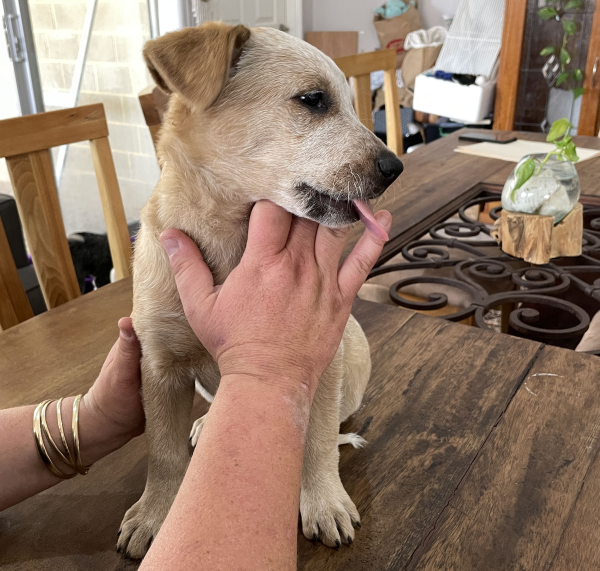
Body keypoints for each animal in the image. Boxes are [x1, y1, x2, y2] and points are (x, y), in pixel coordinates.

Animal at [117, 22, 404, 560]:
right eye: (313, 100)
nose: (396, 168)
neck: (230, 244)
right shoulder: (159, 365)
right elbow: (162, 452)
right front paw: (154, 513)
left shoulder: (323, 358)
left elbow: (317, 438)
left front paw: (323, 498)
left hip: (353, 354)